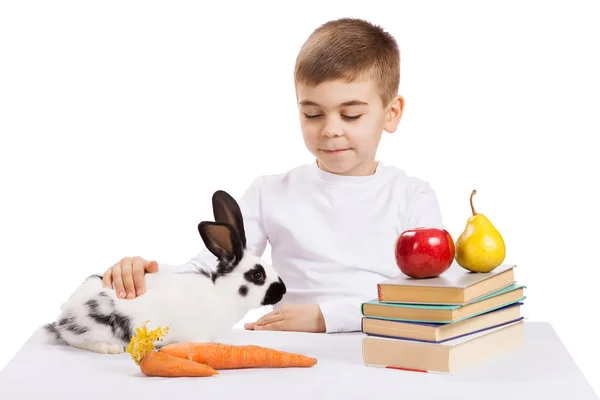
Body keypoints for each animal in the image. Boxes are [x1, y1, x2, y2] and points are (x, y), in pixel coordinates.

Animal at [43, 190, 288, 354]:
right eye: (257, 275)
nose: (283, 290)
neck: (223, 293)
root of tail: (64, 316)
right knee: (76, 340)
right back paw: (110, 348)